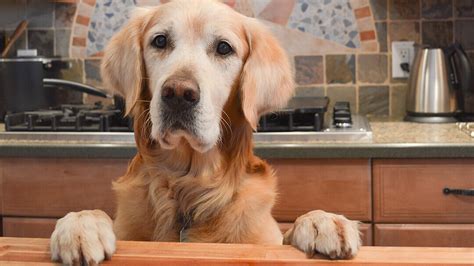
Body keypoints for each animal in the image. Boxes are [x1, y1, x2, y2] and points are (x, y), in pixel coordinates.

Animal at [50, 0, 360, 264]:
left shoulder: (265, 238)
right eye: (159, 41)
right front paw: (80, 223)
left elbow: (289, 231)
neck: (190, 187)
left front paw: (322, 221)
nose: (178, 93)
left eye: (224, 48)